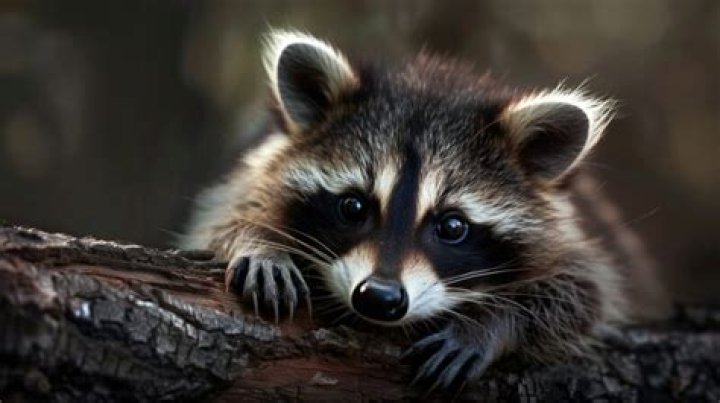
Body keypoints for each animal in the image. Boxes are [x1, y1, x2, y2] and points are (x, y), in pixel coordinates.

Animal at [181, 30, 632, 391]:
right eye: (353, 206)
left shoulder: (579, 239)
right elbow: (219, 222)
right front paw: (260, 240)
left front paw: (489, 322)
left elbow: (584, 293)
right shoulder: (249, 180)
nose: (379, 298)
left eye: (452, 226)